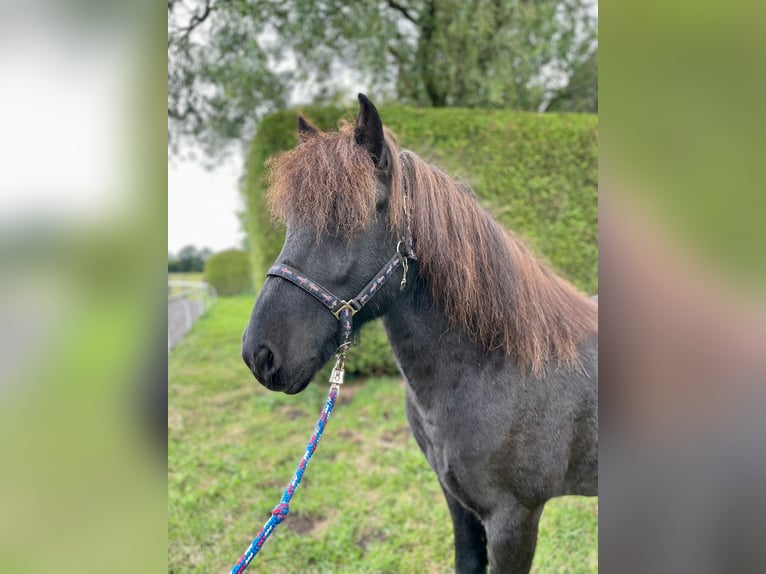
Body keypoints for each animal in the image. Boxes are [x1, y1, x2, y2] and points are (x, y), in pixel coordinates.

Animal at [244, 92, 600, 572]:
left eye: (349, 219)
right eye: (290, 224)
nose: (260, 354)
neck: (497, 367)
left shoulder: (514, 519)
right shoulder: (459, 503)